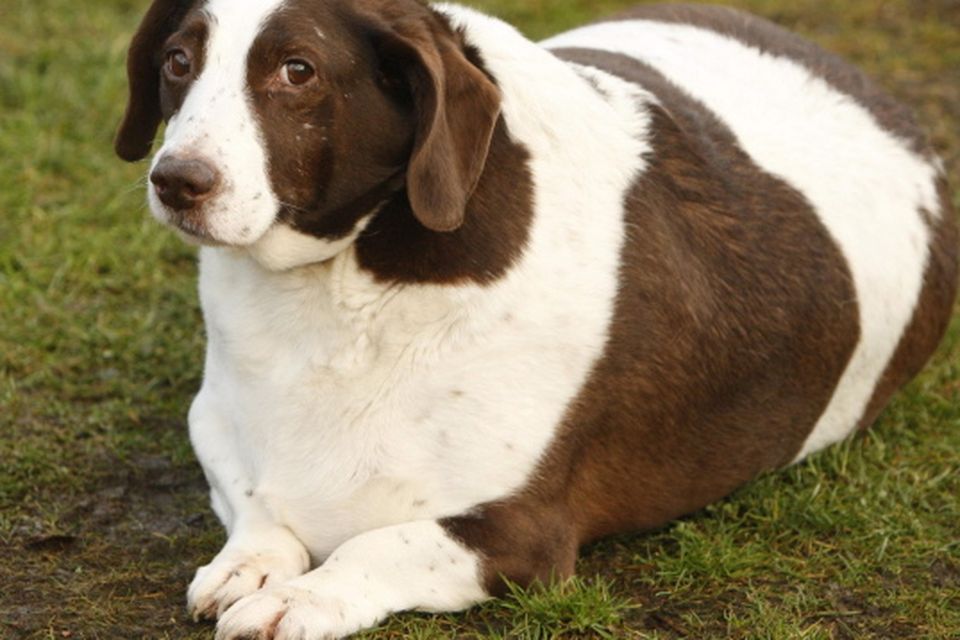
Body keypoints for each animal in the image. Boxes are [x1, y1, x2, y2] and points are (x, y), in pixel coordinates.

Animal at [116, 1, 956, 640]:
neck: (350, 281)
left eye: (299, 70)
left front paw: (302, 598)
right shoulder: (217, 428)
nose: (177, 181)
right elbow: (259, 510)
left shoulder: (520, 530)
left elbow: (377, 547)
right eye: (179, 61)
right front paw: (252, 563)